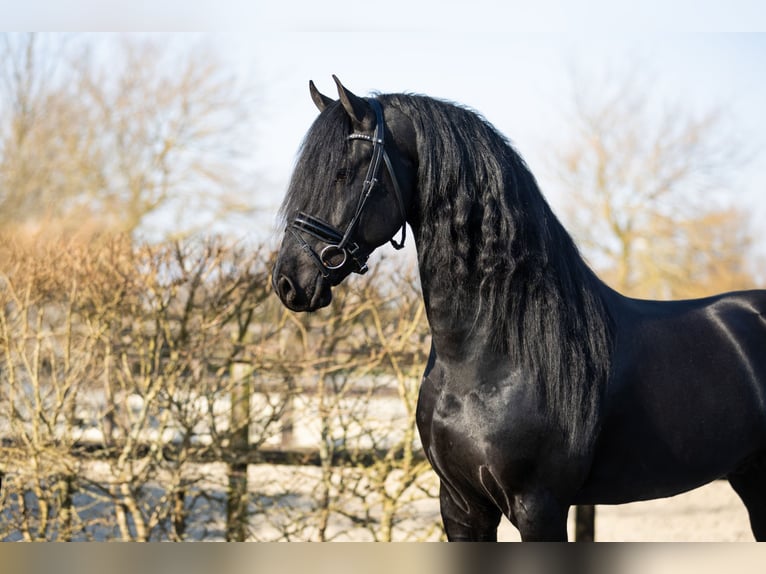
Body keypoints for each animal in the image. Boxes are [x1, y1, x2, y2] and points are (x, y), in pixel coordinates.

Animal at [272, 77, 766, 544]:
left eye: (342, 173)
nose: (288, 281)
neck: (494, 355)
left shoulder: (538, 507)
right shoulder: (460, 505)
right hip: (749, 479)